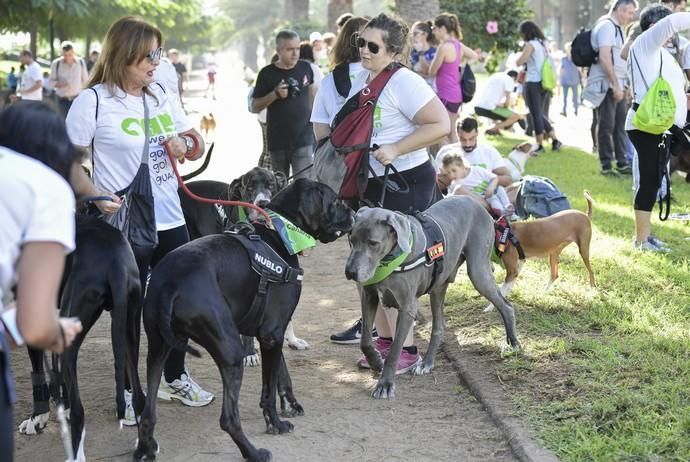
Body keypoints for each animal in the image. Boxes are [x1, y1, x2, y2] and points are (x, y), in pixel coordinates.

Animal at [132, 180, 352, 462]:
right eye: (335, 201)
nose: (354, 212)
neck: (281, 230)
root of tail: (171, 283)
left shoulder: (272, 332)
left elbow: (282, 375)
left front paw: (290, 404)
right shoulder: (272, 333)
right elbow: (268, 390)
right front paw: (275, 424)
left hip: (158, 349)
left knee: (148, 414)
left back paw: (145, 449)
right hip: (231, 353)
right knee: (228, 419)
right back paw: (254, 453)